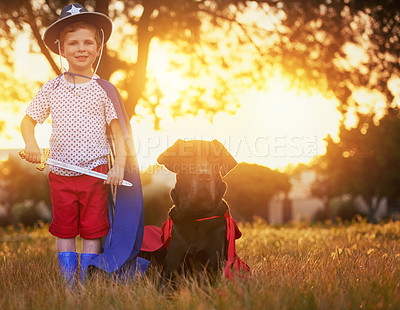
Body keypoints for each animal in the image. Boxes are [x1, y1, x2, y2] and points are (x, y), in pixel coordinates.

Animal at [155, 139, 238, 280]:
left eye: (214, 156)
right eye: (188, 156)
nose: (204, 175)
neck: (196, 215)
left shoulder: (214, 261)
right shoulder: (172, 263)